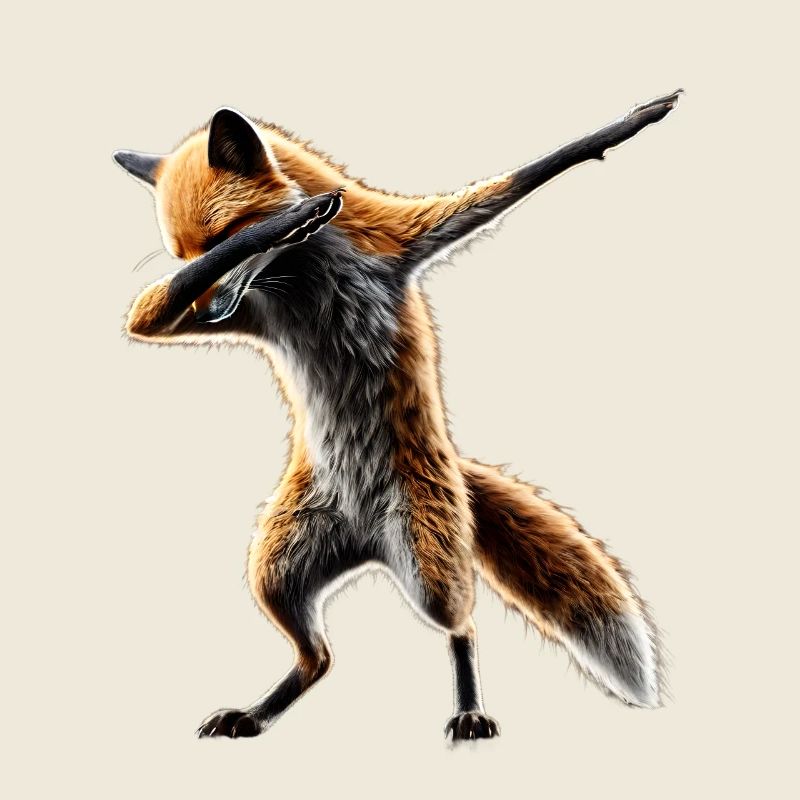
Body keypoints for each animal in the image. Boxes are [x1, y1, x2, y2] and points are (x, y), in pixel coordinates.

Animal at [115, 90, 680, 741]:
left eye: (222, 235)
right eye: (183, 255)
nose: (207, 316)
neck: (306, 281)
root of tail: (365, 540)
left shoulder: (404, 237)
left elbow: (524, 175)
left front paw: (629, 124)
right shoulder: (223, 311)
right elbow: (145, 314)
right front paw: (296, 217)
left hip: (426, 564)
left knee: (462, 625)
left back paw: (468, 710)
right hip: (276, 568)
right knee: (320, 658)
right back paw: (256, 715)